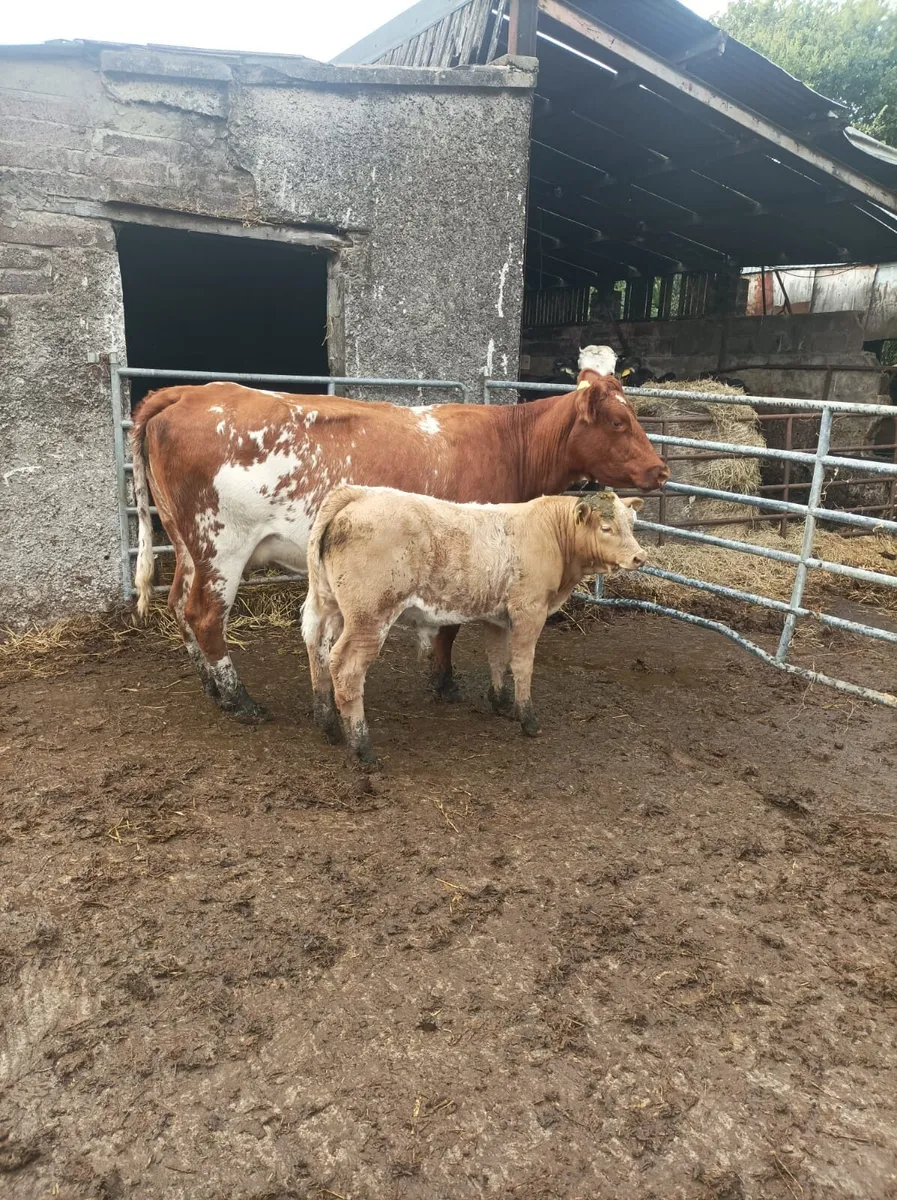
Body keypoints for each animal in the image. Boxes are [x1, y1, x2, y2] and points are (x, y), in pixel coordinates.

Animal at [130, 377, 668, 722]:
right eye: (617, 422)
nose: (661, 470)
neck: (508, 443)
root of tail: (187, 391)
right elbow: (449, 630)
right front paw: (444, 683)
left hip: (186, 544)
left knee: (178, 605)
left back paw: (212, 688)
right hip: (222, 544)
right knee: (203, 615)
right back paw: (240, 701)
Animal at [302, 485, 647, 765]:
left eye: (632, 524)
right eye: (606, 527)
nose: (640, 557)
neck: (550, 532)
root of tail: (358, 493)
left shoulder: (498, 617)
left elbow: (497, 657)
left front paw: (500, 701)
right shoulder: (530, 609)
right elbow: (522, 663)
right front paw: (527, 717)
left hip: (327, 605)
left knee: (318, 649)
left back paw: (328, 726)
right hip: (370, 617)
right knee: (345, 668)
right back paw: (362, 749)